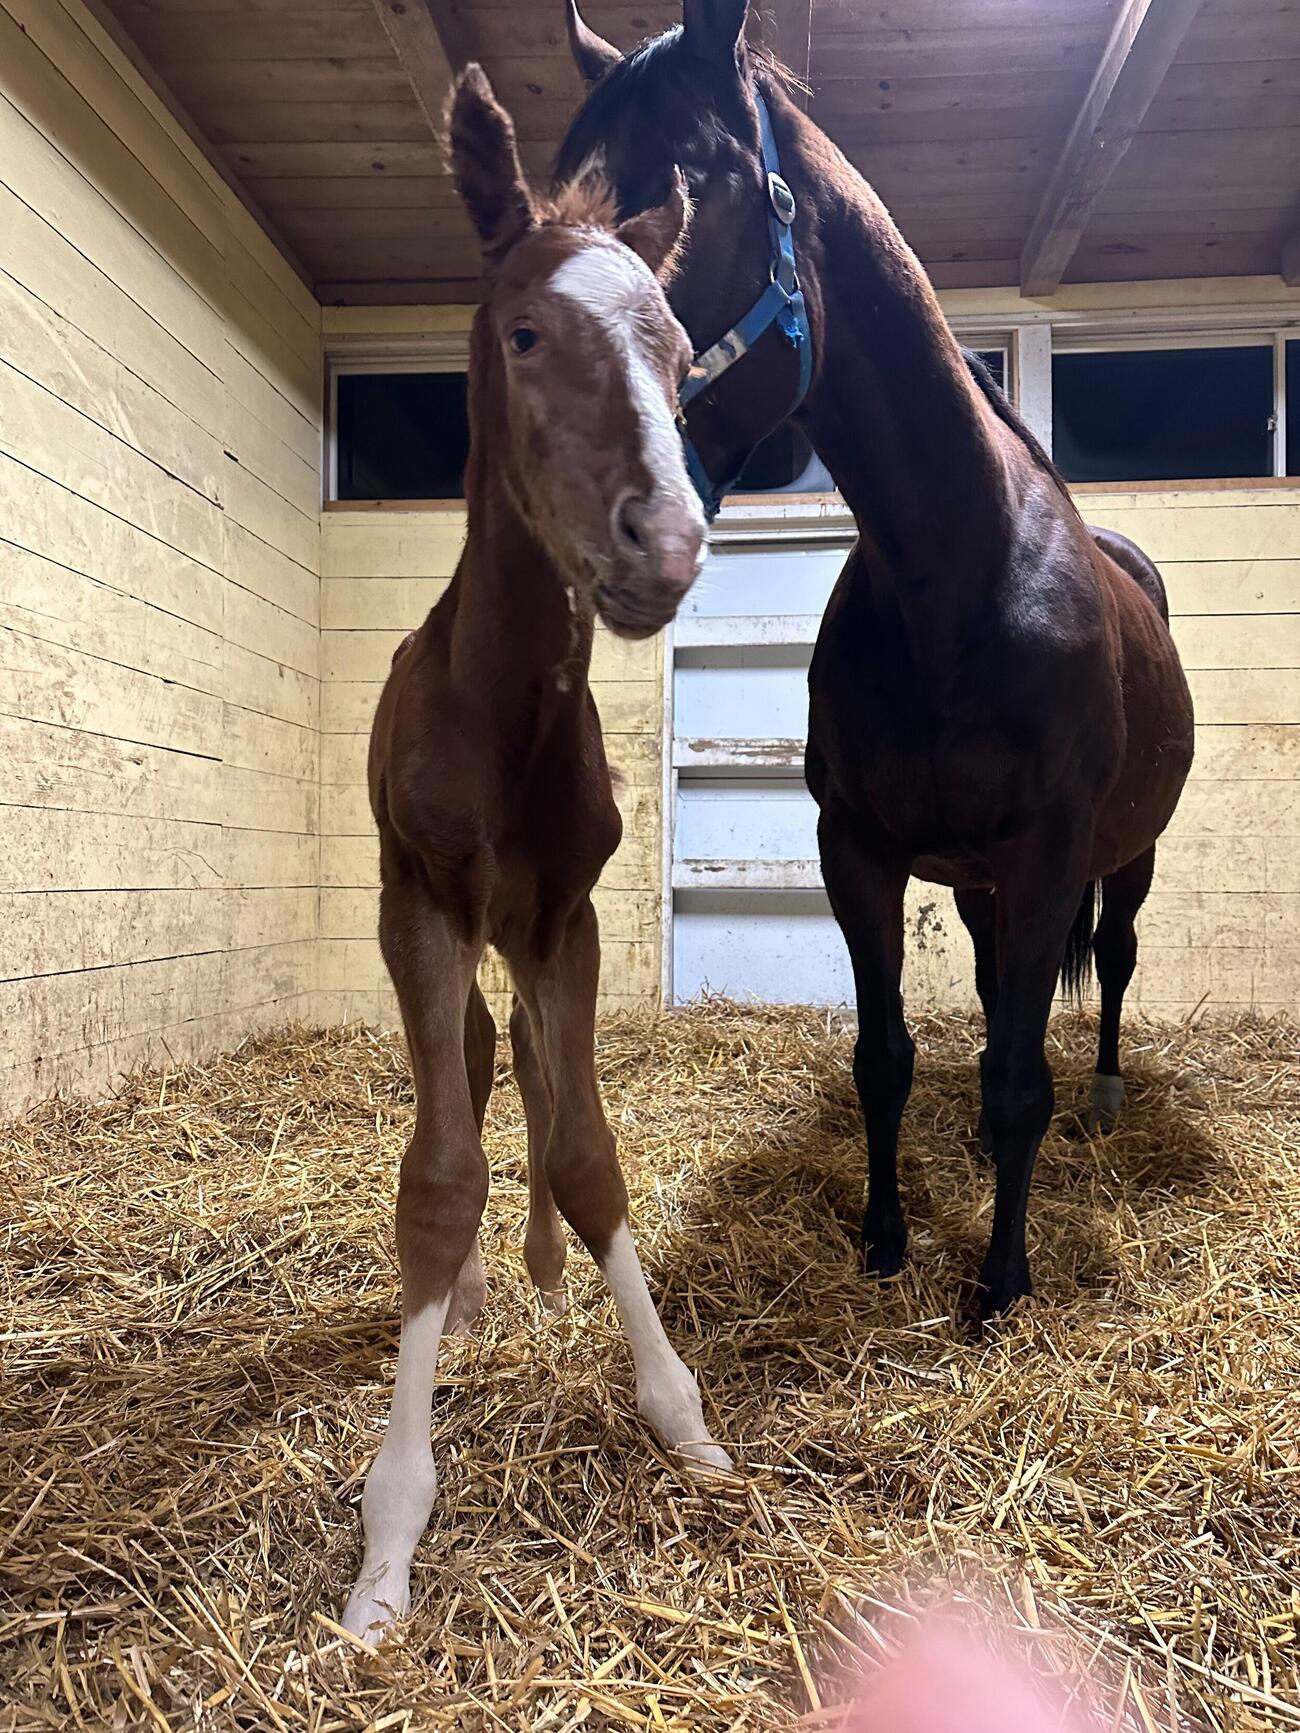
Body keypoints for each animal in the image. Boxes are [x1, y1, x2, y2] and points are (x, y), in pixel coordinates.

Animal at [557, 1, 1195, 1318]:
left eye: (681, 180)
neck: (952, 577)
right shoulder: (858, 847)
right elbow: (885, 1054)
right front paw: (886, 1235)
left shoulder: (1049, 847)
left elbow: (1018, 1070)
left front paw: (999, 1277)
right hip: (977, 877)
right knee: (1004, 991)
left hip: (1124, 851)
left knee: (1107, 963)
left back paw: (1101, 1099)